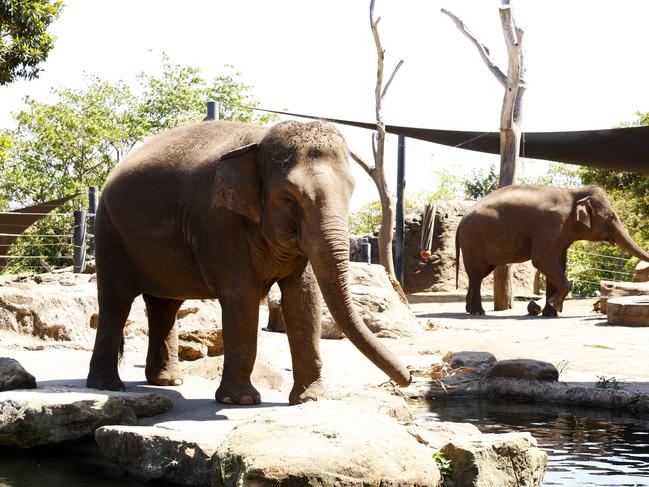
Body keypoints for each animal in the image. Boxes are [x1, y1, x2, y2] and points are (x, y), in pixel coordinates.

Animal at [86, 120, 410, 406]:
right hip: (109, 230)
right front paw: (239, 400)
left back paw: (168, 381)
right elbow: (242, 294)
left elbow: (304, 297)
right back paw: (107, 385)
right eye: (289, 198)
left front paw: (311, 399)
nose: (407, 378)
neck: (259, 141)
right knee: (117, 300)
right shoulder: (218, 221)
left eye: (351, 191)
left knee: (164, 305)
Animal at [456, 186, 648, 316]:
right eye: (611, 217)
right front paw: (555, 306)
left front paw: (551, 313)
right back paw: (477, 312)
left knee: (478, 274)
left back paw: (469, 309)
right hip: (473, 240)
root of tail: (461, 220)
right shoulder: (552, 226)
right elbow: (542, 260)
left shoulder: (561, 234)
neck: (575, 193)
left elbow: (556, 264)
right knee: (477, 274)